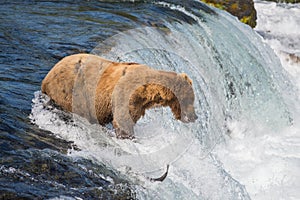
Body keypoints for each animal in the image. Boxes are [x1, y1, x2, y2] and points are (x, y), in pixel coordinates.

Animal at [41, 53, 197, 139]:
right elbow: (123, 121)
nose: (194, 117)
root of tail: (46, 78)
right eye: (190, 99)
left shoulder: (139, 105)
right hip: (69, 90)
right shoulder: (127, 95)